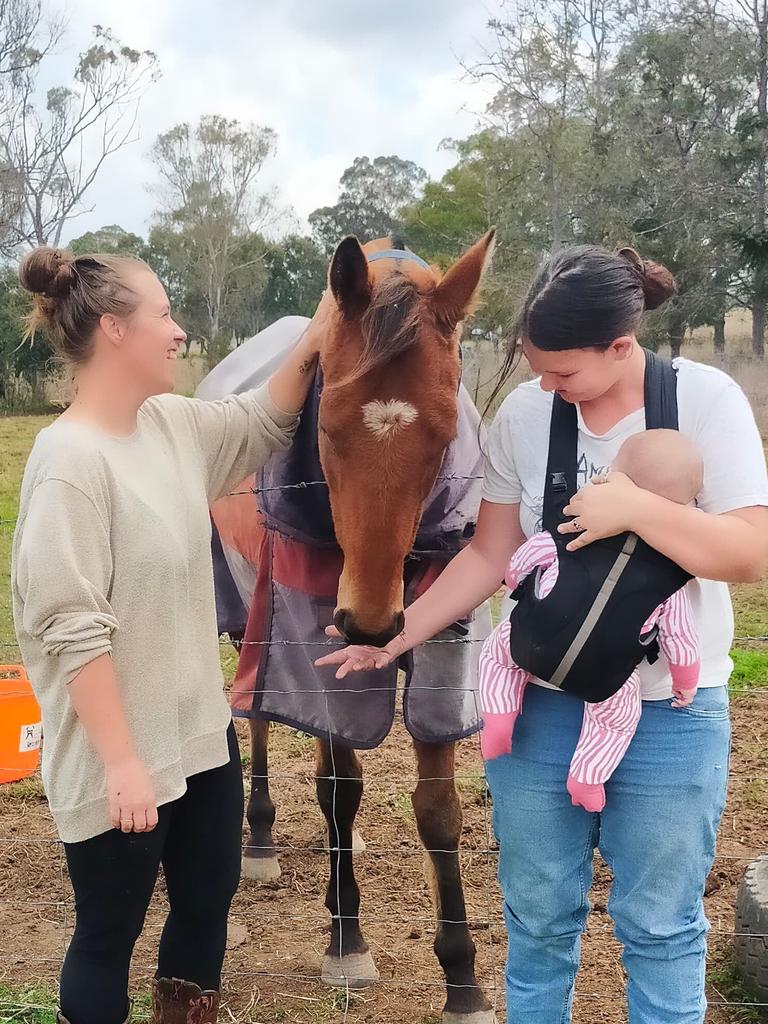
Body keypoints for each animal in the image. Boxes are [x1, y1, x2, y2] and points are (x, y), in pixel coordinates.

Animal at [237, 232, 495, 1024]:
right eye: (325, 423)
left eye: (445, 433)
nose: (373, 626)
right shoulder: (315, 655)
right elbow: (339, 789)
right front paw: (346, 939)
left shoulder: (444, 652)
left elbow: (439, 812)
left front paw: (463, 979)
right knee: (259, 727)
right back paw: (259, 838)